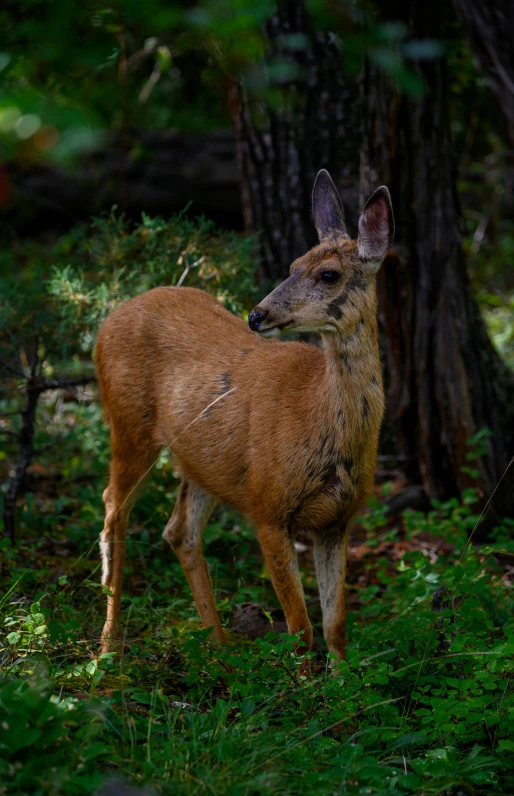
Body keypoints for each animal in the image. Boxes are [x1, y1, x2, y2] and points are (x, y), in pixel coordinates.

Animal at [95, 171, 392, 664]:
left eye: (328, 274)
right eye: (292, 264)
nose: (257, 314)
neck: (322, 428)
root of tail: (108, 320)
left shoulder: (337, 520)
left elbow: (335, 627)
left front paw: (344, 681)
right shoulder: (267, 507)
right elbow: (300, 630)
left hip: (201, 461)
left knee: (179, 530)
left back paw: (219, 650)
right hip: (129, 424)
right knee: (112, 512)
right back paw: (108, 647)